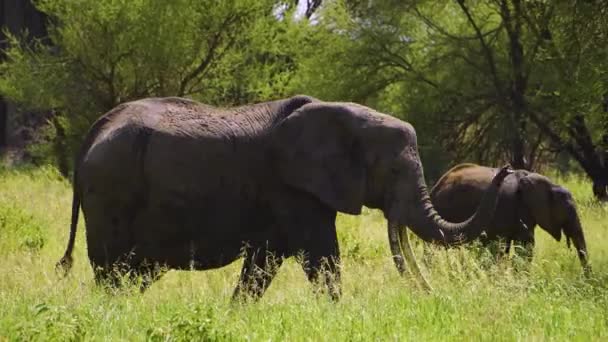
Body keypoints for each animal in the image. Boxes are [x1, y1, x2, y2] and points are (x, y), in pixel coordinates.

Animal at [57, 96, 510, 300]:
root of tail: (96, 130)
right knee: (113, 269)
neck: (339, 114)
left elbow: (263, 263)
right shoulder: (294, 190)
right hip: (112, 189)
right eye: (395, 172)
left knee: (132, 272)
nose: (505, 169)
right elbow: (322, 258)